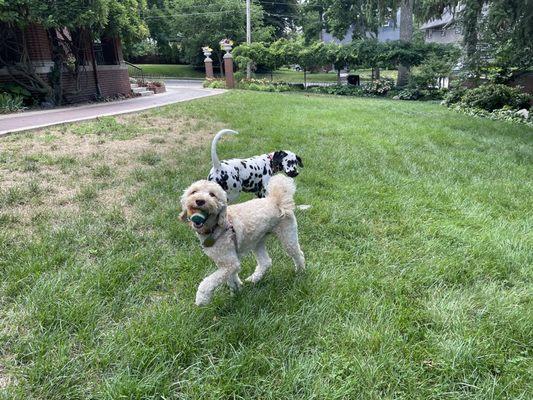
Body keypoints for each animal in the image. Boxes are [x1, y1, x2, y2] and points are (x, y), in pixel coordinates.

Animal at [179, 175, 304, 306]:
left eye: (212, 195)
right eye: (193, 192)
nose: (199, 201)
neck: (217, 227)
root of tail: (276, 200)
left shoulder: (230, 263)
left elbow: (209, 281)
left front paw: (201, 298)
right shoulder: (226, 262)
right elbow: (231, 277)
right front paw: (237, 291)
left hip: (288, 236)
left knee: (298, 253)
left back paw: (300, 271)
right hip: (257, 241)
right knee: (265, 262)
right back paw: (254, 279)